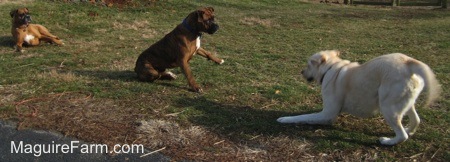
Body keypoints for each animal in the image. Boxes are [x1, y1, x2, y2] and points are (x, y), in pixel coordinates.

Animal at [276, 50, 442, 145]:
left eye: (308, 64)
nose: (301, 72)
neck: (330, 68)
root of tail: (408, 62)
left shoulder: (327, 115)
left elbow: (301, 117)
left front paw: (284, 119)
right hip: (405, 104)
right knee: (415, 120)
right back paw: (408, 130)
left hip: (387, 108)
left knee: (402, 136)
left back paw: (388, 141)